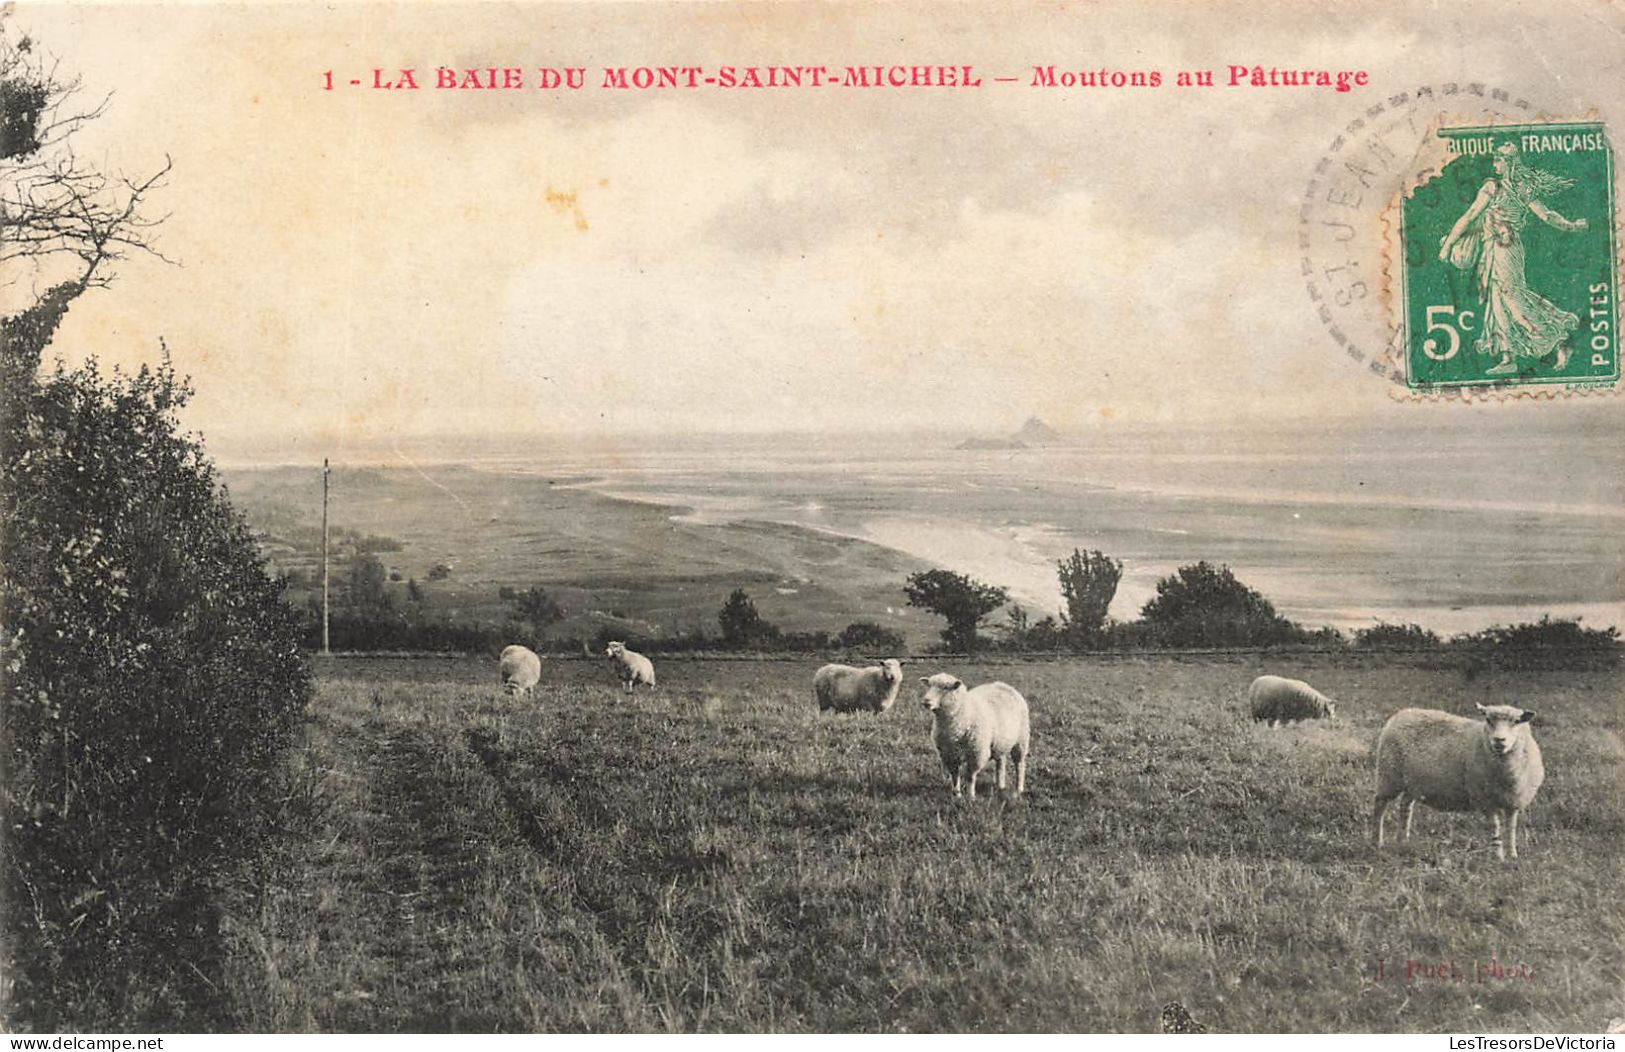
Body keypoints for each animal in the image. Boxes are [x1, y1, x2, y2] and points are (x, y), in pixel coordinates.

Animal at [1378, 708, 1540, 865]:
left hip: (1412, 784)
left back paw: (1402, 841)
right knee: (1379, 805)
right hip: (1389, 775)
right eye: (1488, 720)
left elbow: (1511, 828)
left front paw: (1512, 855)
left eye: (1517, 721)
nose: (1499, 740)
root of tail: (1402, 713)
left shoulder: (1513, 801)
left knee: (1405, 807)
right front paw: (1498, 856)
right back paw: (1377, 841)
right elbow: (1495, 828)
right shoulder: (1485, 801)